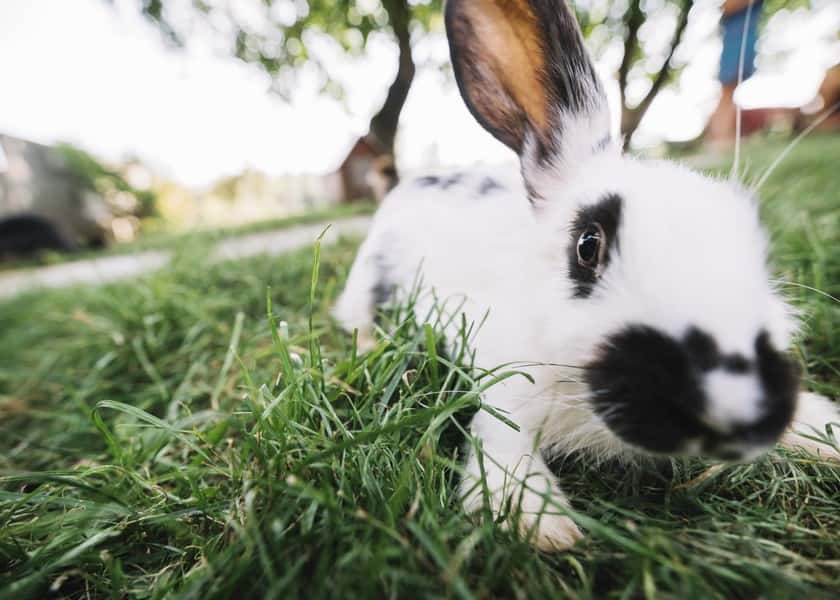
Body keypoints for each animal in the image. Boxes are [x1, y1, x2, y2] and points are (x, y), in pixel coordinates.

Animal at [334, 0, 840, 551]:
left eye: (758, 246)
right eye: (587, 245)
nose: (732, 405)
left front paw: (826, 430)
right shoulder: (505, 388)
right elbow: (502, 440)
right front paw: (537, 524)